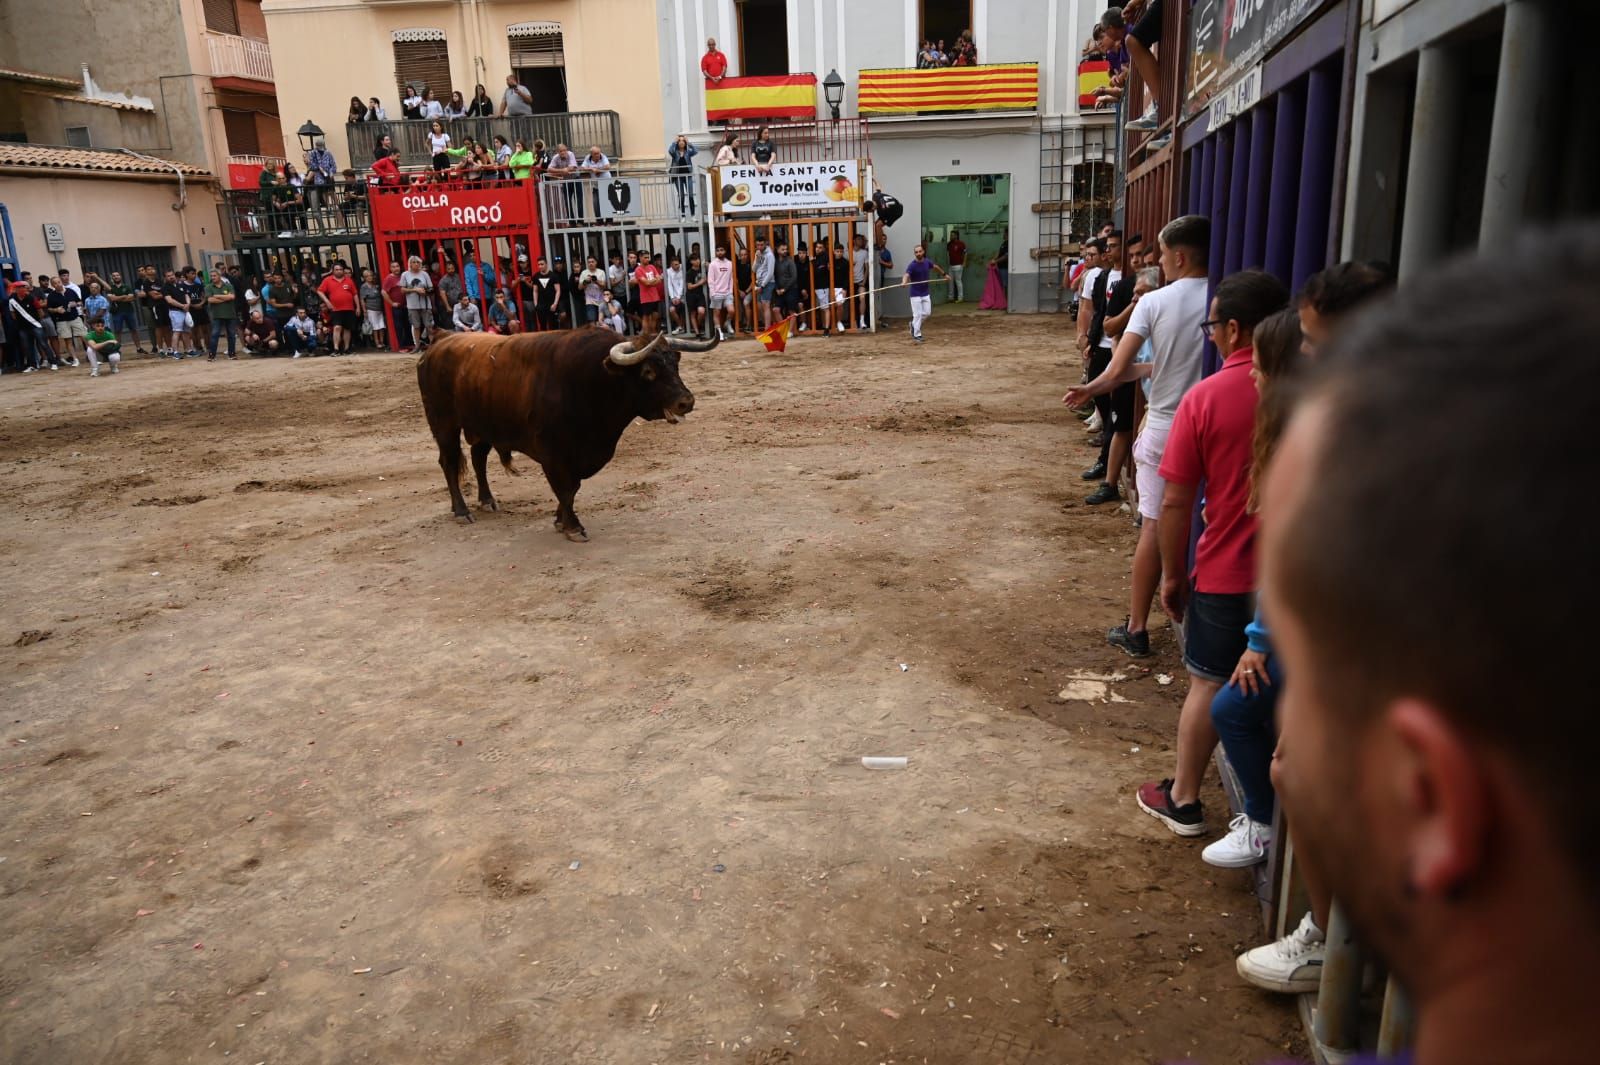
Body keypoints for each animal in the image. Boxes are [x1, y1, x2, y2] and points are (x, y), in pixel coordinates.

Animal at [416, 326, 716, 540]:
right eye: (648, 371)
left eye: (675, 364)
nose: (686, 402)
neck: (592, 380)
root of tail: (441, 339)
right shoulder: (553, 454)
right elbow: (565, 488)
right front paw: (572, 526)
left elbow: (572, 488)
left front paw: (560, 520)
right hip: (443, 423)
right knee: (449, 462)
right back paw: (461, 511)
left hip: (484, 426)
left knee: (478, 458)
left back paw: (487, 501)